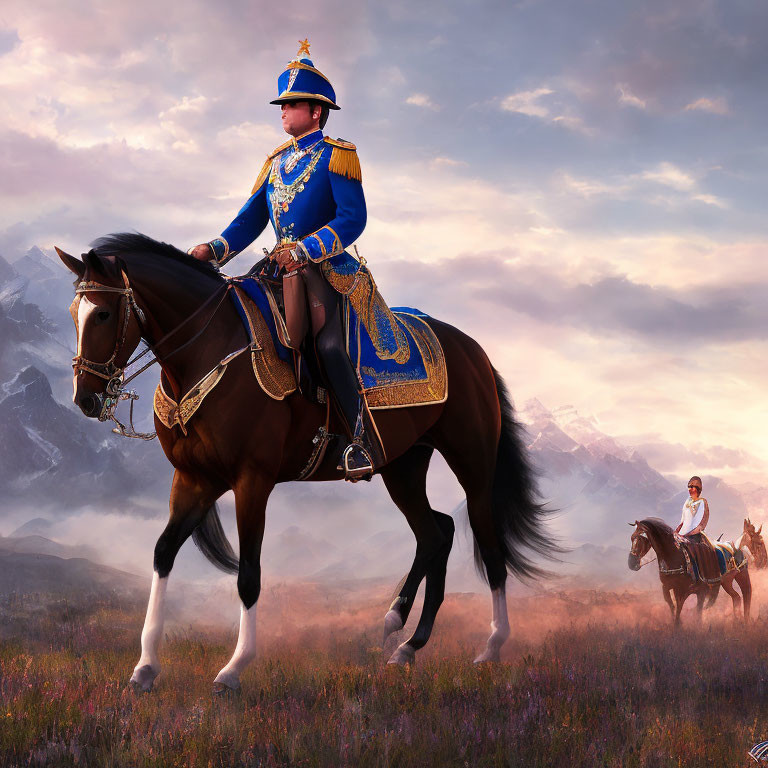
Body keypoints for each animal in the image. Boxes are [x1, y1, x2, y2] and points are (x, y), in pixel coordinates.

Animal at [57, 231, 556, 692]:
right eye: (73, 314)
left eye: (103, 313)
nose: (86, 398)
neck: (209, 352)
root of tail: (473, 351)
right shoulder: (194, 479)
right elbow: (162, 554)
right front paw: (144, 667)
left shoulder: (252, 480)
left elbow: (249, 574)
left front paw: (233, 669)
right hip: (403, 465)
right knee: (436, 533)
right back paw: (404, 639)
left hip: (472, 462)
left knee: (487, 543)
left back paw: (491, 645)